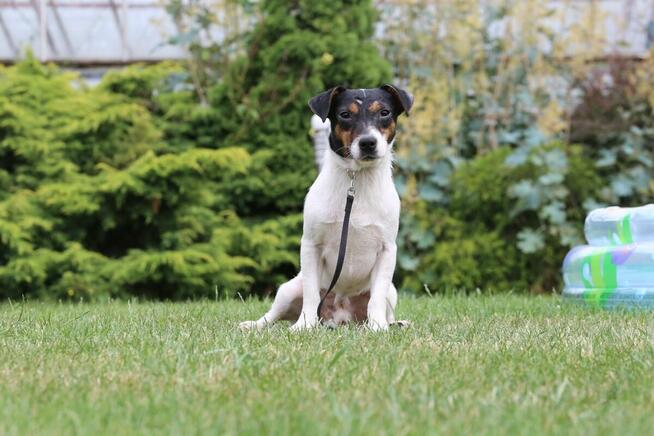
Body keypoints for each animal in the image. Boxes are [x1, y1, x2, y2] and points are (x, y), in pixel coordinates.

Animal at [241, 84, 416, 330]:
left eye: (384, 112)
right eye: (345, 114)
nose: (368, 142)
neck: (356, 180)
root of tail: (340, 316)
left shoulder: (387, 250)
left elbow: (377, 297)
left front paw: (377, 327)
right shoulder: (311, 245)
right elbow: (311, 294)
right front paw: (304, 325)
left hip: (392, 292)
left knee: (384, 303)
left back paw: (394, 323)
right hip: (288, 289)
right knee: (274, 314)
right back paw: (255, 325)